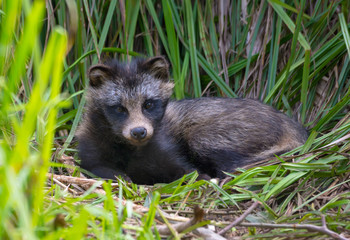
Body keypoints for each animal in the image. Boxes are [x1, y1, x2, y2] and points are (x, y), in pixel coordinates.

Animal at [76, 56, 306, 184]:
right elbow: (94, 166)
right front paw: (119, 175)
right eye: (119, 108)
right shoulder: (90, 146)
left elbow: (189, 171)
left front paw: (202, 177)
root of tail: (289, 124)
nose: (139, 131)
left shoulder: (165, 147)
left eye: (148, 104)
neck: (130, 147)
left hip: (220, 131)